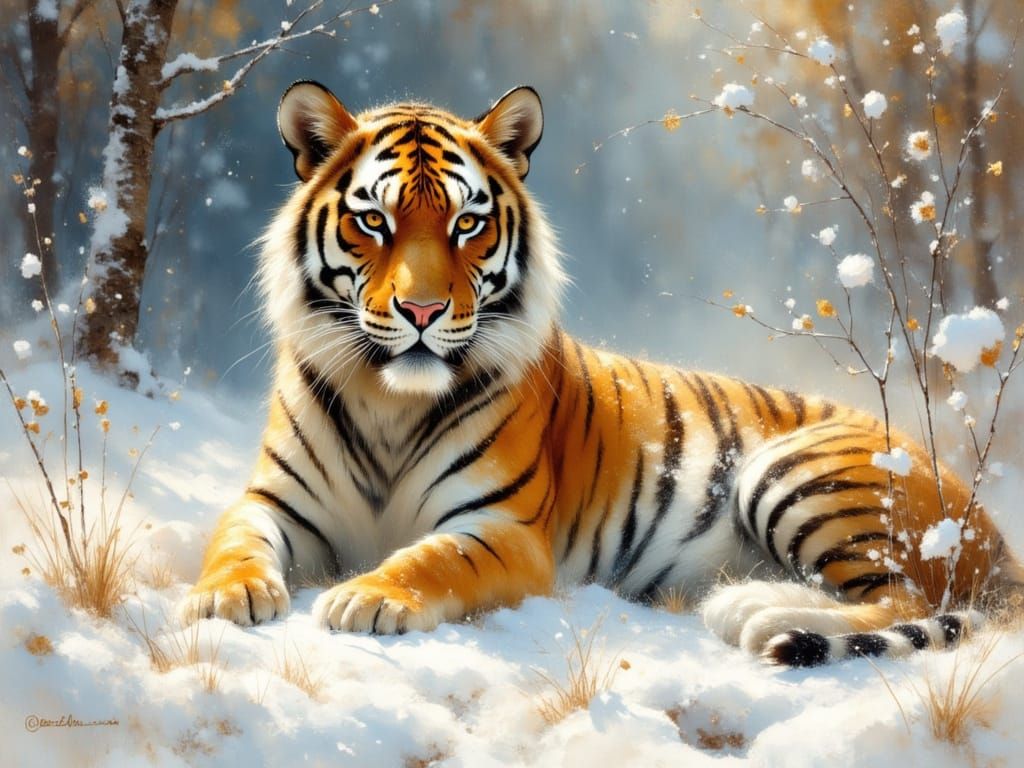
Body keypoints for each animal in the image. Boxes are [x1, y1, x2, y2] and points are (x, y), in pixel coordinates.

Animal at [178, 81, 1023, 666]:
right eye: (373, 221)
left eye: (467, 223)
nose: (420, 310)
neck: (390, 398)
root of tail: (995, 533)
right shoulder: (276, 500)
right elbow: (235, 538)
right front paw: (222, 597)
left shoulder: (504, 532)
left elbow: (430, 556)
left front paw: (367, 595)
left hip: (797, 471)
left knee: (902, 595)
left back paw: (754, 615)